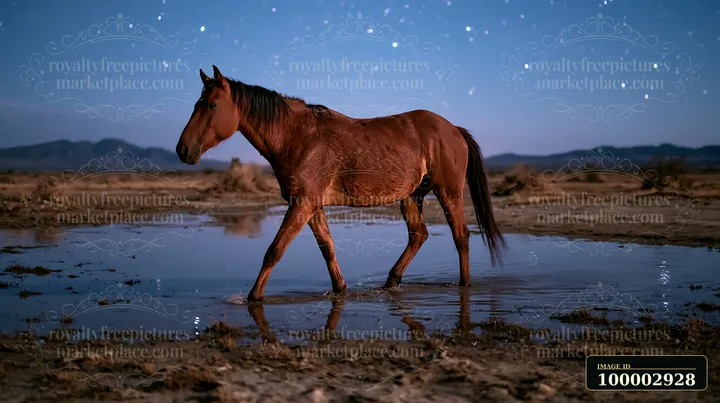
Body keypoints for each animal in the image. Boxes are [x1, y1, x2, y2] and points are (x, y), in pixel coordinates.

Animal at [176, 65, 506, 302]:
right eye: (196, 103)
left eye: (212, 104)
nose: (183, 149)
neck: (297, 135)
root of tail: (454, 129)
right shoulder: (311, 206)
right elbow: (327, 249)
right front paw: (341, 289)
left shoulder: (303, 204)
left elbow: (274, 250)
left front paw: (253, 297)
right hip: (412, 196)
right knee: (419, 236)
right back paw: (391, 281)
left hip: (448, 192)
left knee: (461, 236)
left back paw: (464, 285)